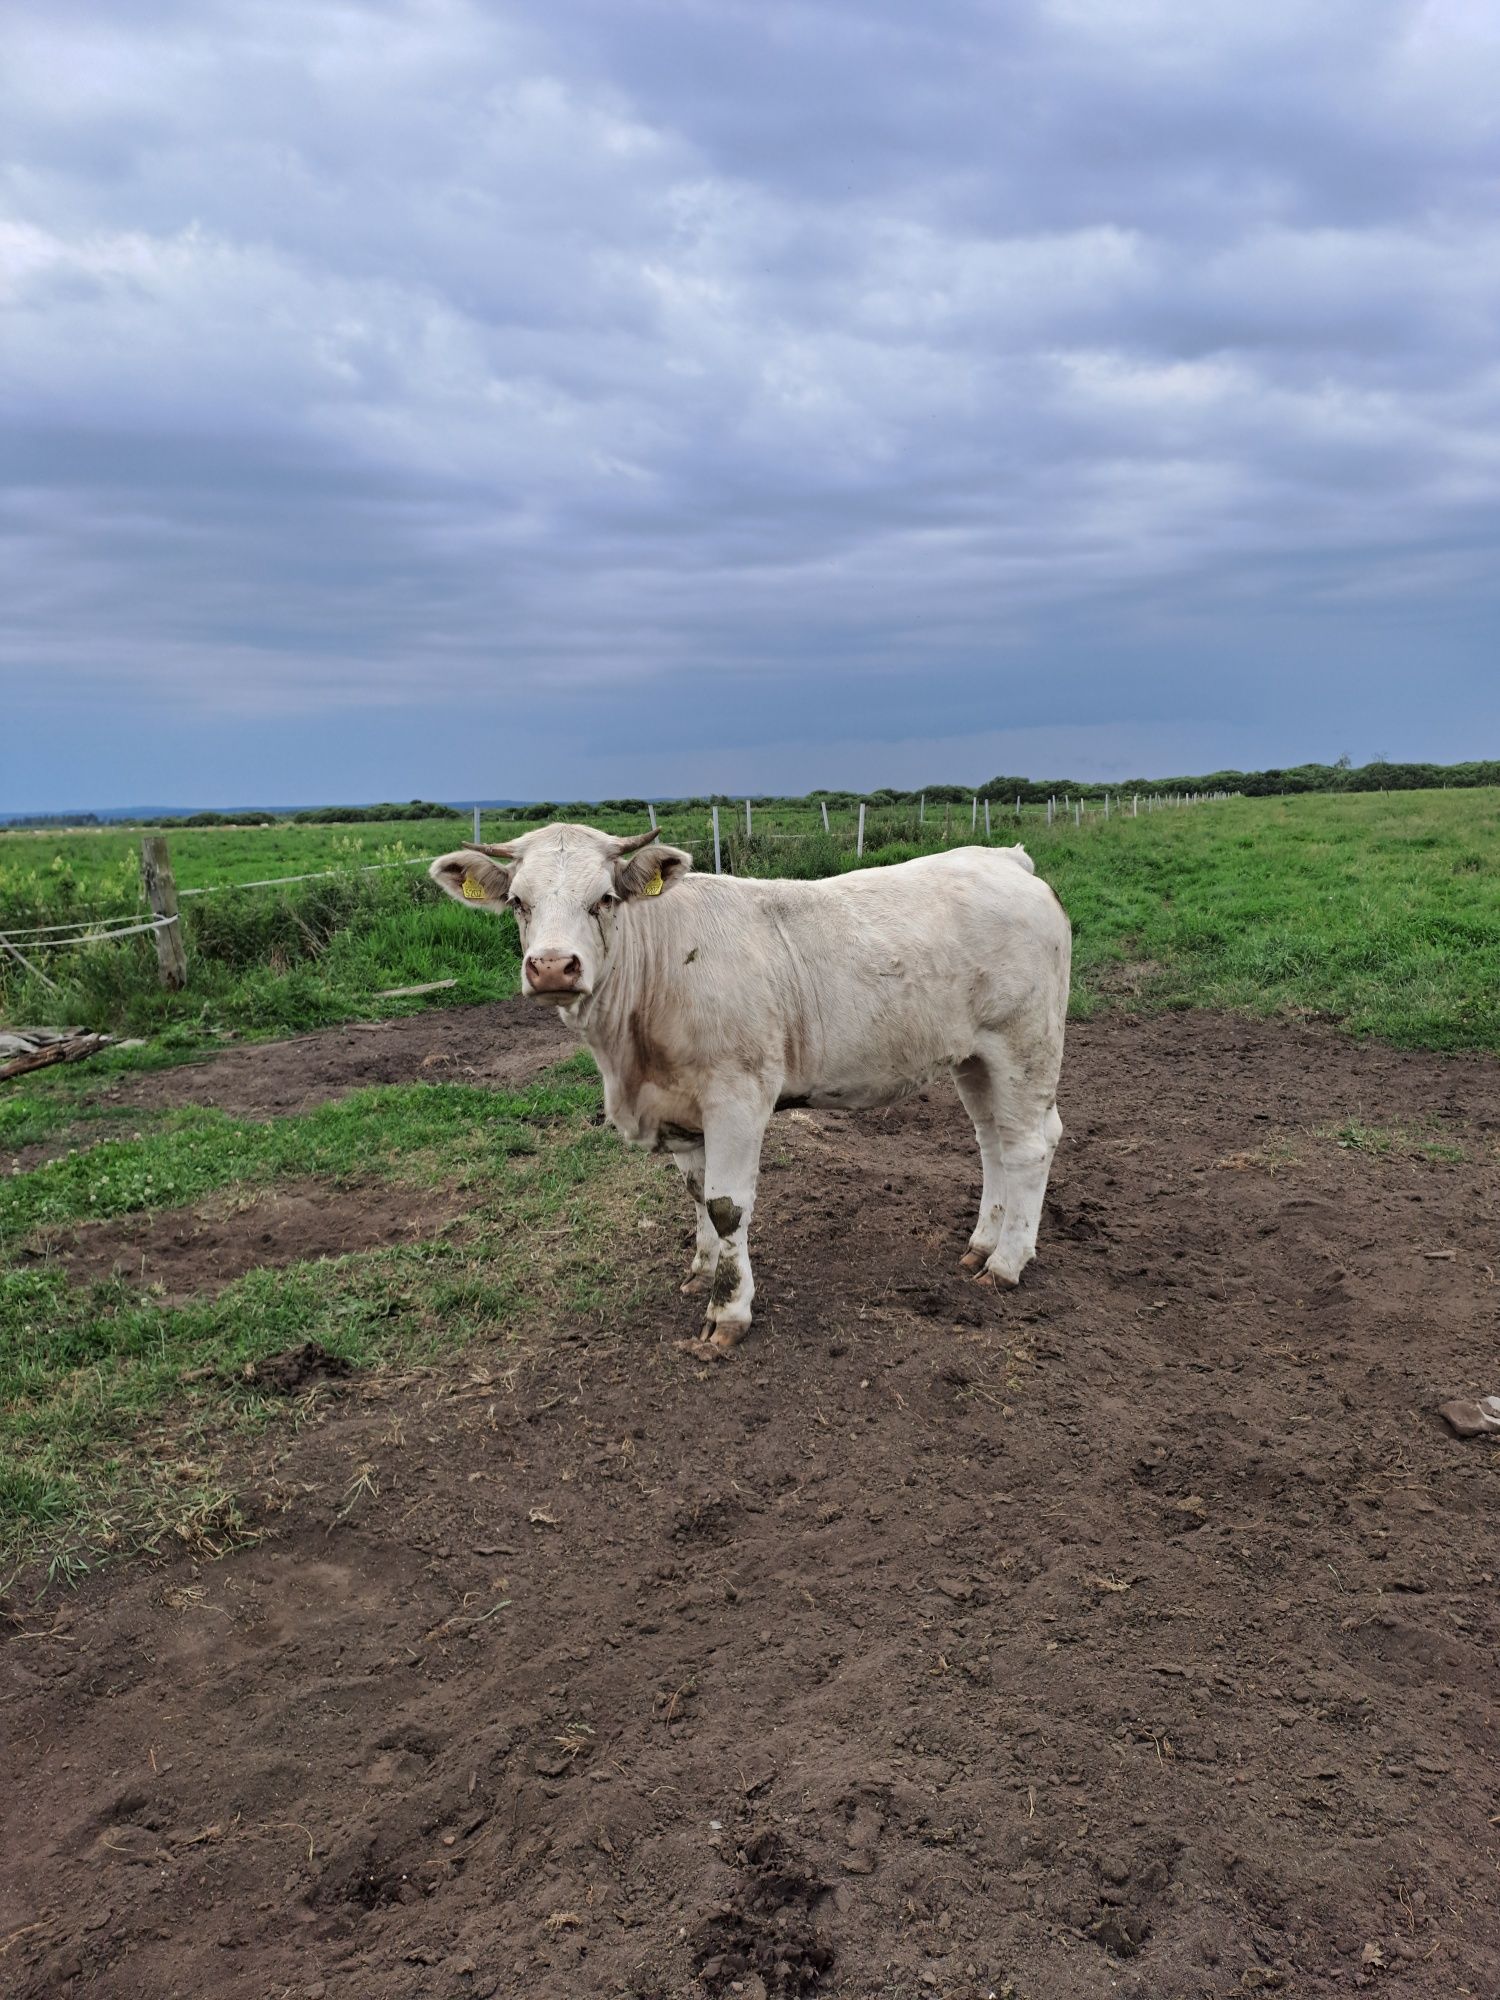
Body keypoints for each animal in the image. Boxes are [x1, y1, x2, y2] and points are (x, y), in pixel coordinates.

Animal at [428, 820, 1072, 1352]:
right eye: (518, 901)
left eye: (604, 899)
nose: (552, 967)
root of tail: (1004, 858)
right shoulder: (681, 1107)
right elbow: (697, 1196)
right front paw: (701, 1272)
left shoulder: (737, 1096)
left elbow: (726, 1205)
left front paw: (728, 1314)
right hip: (974, 1058)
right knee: (993, 1143)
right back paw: (981, 1244)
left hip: (1024, 1044)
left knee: (1029, 1146)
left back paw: (1006, 1263)